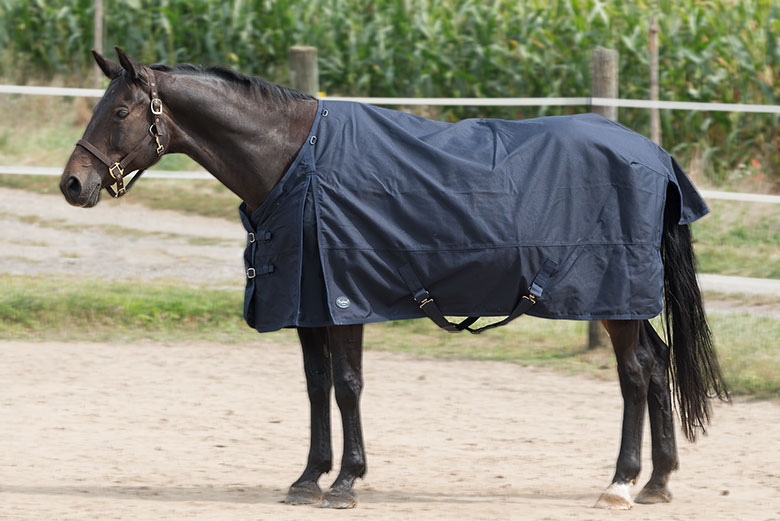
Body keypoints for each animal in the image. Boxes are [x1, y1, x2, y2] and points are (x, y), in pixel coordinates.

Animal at [61, 48, 732, 508]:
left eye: (119, 111)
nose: (72, 183)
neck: (294, 161)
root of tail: (654, 154)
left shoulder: (344, 300)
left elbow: (348, 385)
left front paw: (346, 482)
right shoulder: (307, 305)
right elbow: (317, 387)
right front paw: (308, 478)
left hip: (613, 299)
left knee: (636, 374)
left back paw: (620, 484)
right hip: (627, 302)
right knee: (658, 362)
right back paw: (657, 482)